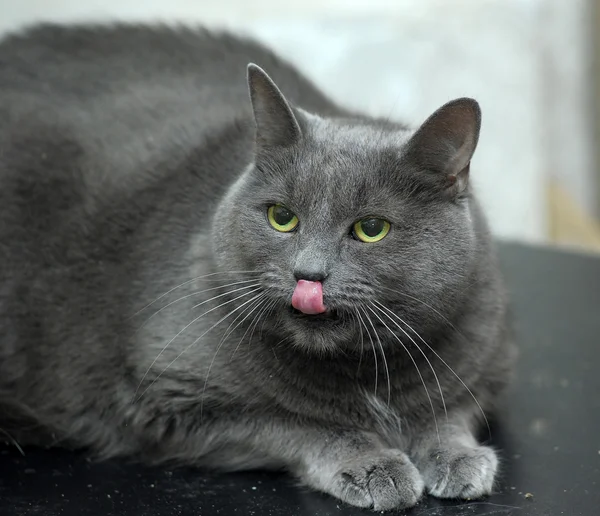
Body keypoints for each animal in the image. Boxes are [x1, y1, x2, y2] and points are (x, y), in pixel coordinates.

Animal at [0, 24, 516, 512]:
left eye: (371, 228)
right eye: (281, 217)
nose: (309, 274)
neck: (363, 373)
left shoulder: (485, 369)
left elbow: (450, 410)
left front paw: (458, 456)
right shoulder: (168, 399)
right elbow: (297, 422)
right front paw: (374, 465)